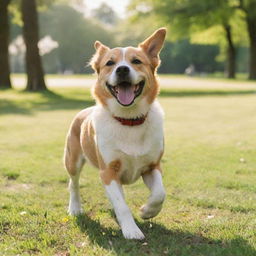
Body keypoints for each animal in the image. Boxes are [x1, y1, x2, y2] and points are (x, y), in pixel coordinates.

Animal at [64, 28, 166, 240]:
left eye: (136, 61)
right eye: (110, 63)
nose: (122, 70)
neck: (129, 120)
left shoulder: (152, 166)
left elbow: (160, 193)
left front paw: (147, 211)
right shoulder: (108, 171)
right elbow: (122, 206)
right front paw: (131, 230)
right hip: (72, 160)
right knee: (73, 184)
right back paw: (75, 208)